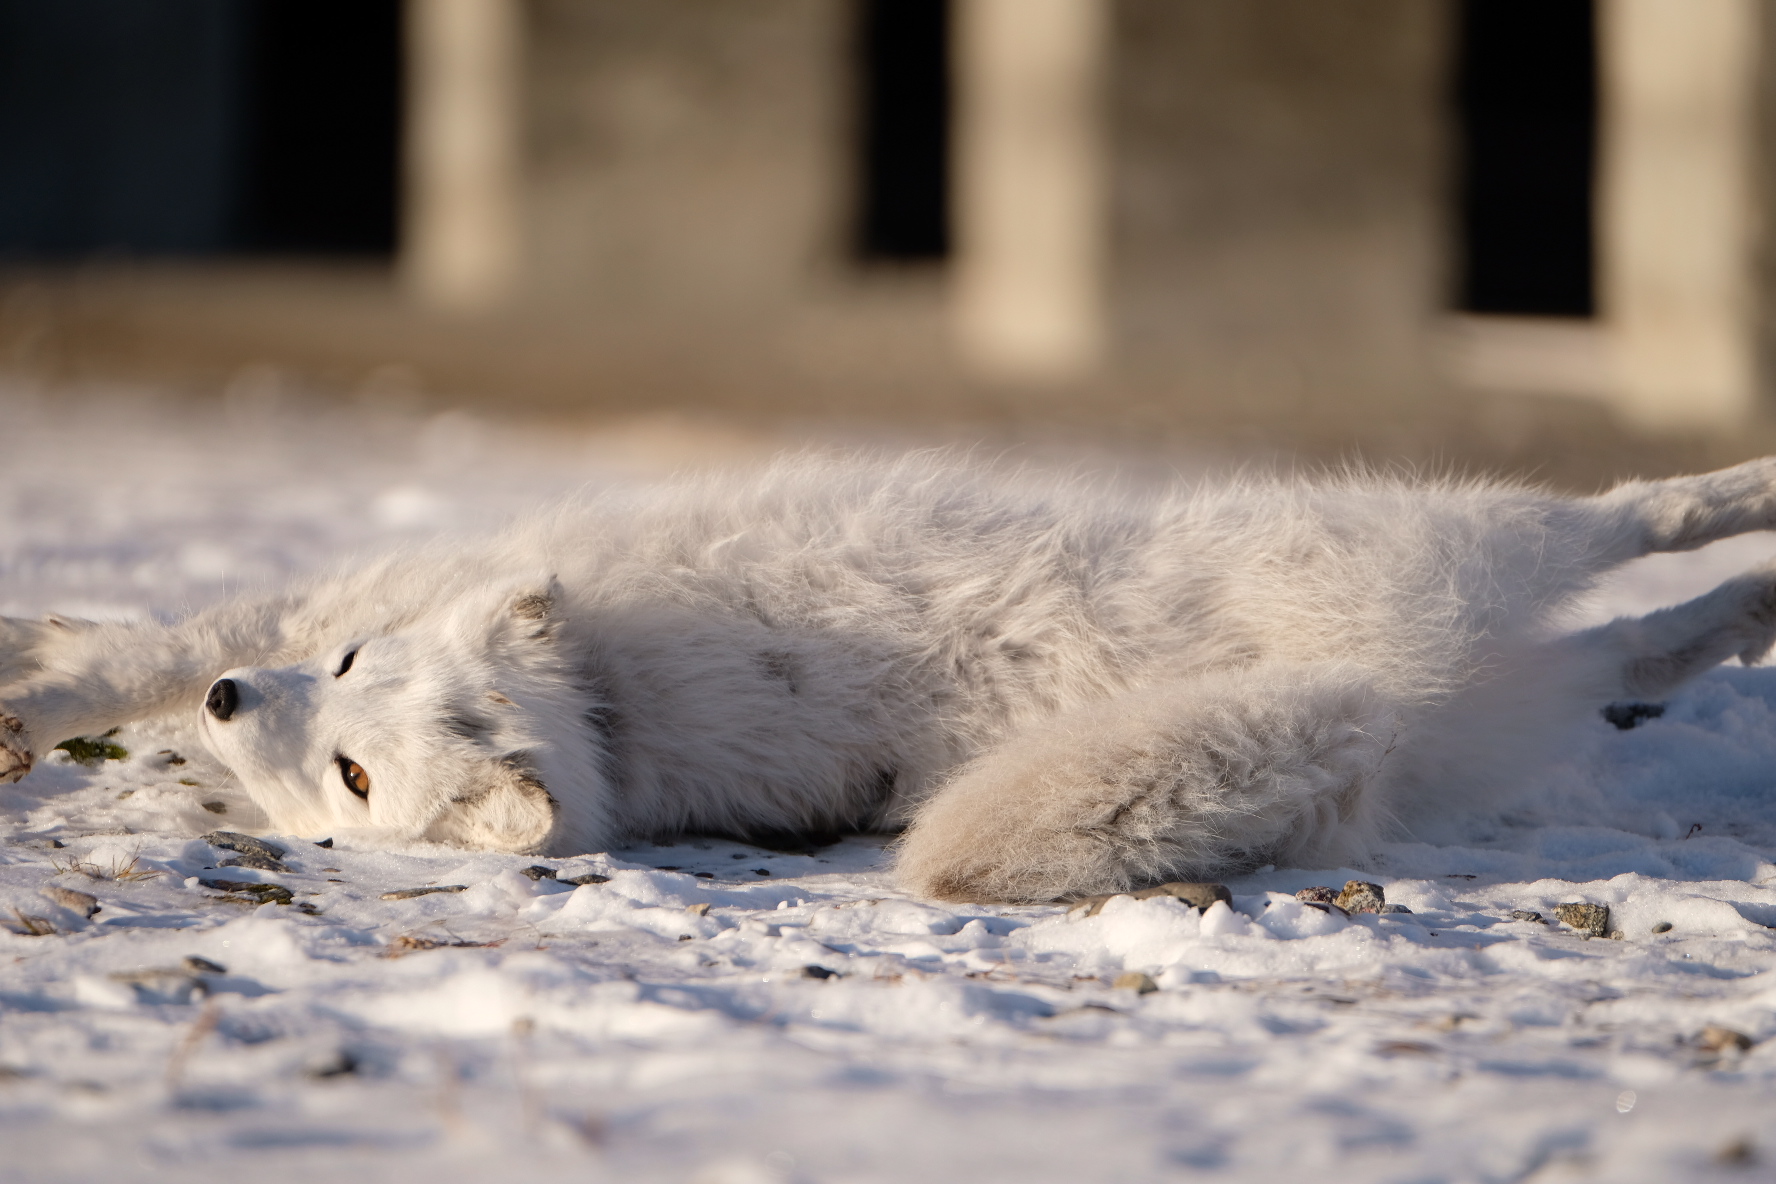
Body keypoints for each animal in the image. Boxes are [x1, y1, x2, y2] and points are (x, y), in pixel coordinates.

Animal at [3, 454, 1776, 898]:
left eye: (359, 771)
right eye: (344, 678)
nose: (237, 710)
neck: (615, 701)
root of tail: (1407, 676)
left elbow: (134, 657)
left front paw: (30, 705)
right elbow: (132, 650)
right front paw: (68, 674)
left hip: (1480, 543)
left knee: (1642, 516)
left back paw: (1747, 504)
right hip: (1507, 685)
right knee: (1630, 640)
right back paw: (1744, 612)